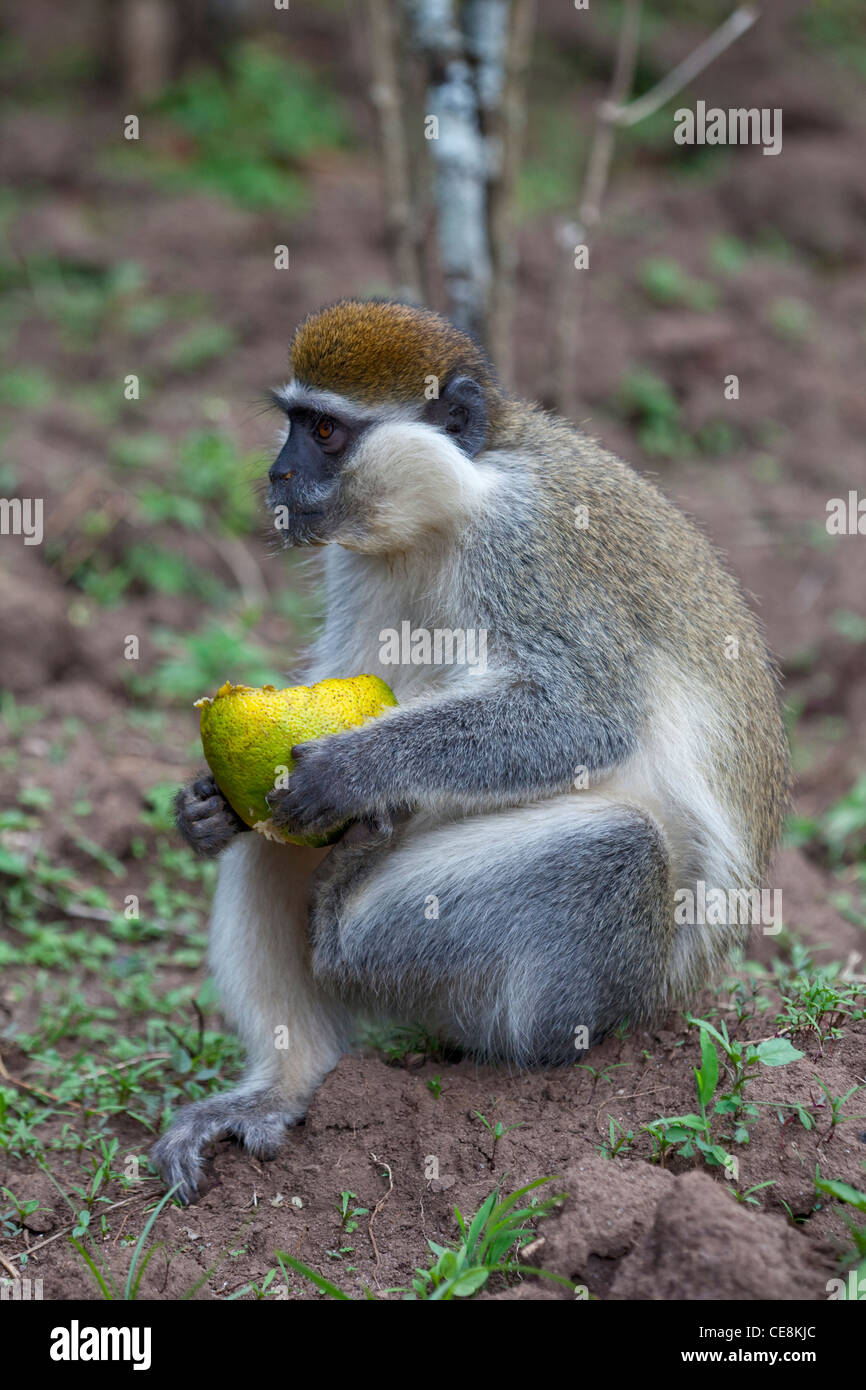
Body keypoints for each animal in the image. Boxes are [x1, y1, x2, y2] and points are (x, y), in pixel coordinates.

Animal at [150, 298, 795, 1200]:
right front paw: (203, 807)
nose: (276, 476)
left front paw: (356, 768)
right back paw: (286, 1083)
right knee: (269, 843)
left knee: (616, 849)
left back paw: (354, 914)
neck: (454, 502)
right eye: (293, 425)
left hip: (593, 982)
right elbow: (349, 678)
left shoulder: (528, 545)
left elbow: (584, 717)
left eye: (324, 431)